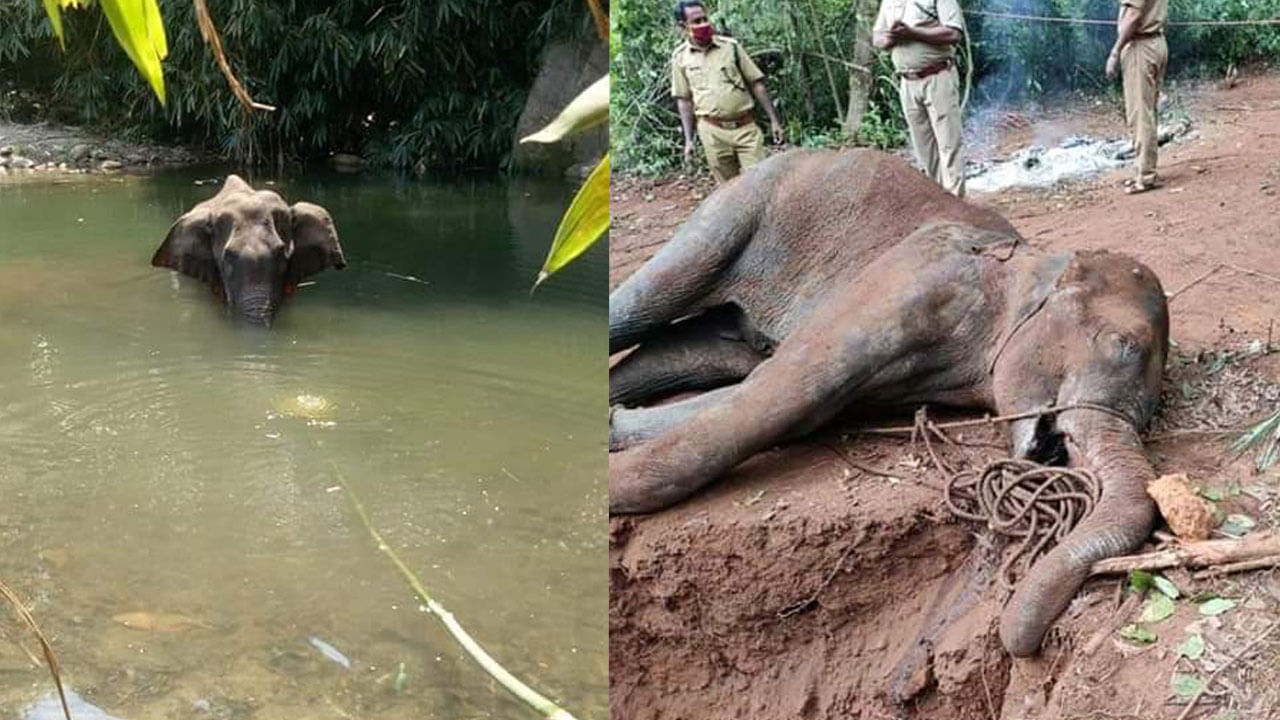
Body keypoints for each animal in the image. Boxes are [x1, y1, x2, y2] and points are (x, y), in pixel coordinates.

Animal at [609, 147, 1172, 655]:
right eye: (1121, 344)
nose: (1017, 637)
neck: (1033, 263)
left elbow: (797, 405)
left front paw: (617, 432)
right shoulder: (923, 274)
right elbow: (791, 388)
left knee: (700, 353)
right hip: (743, 204)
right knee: (645, 303)